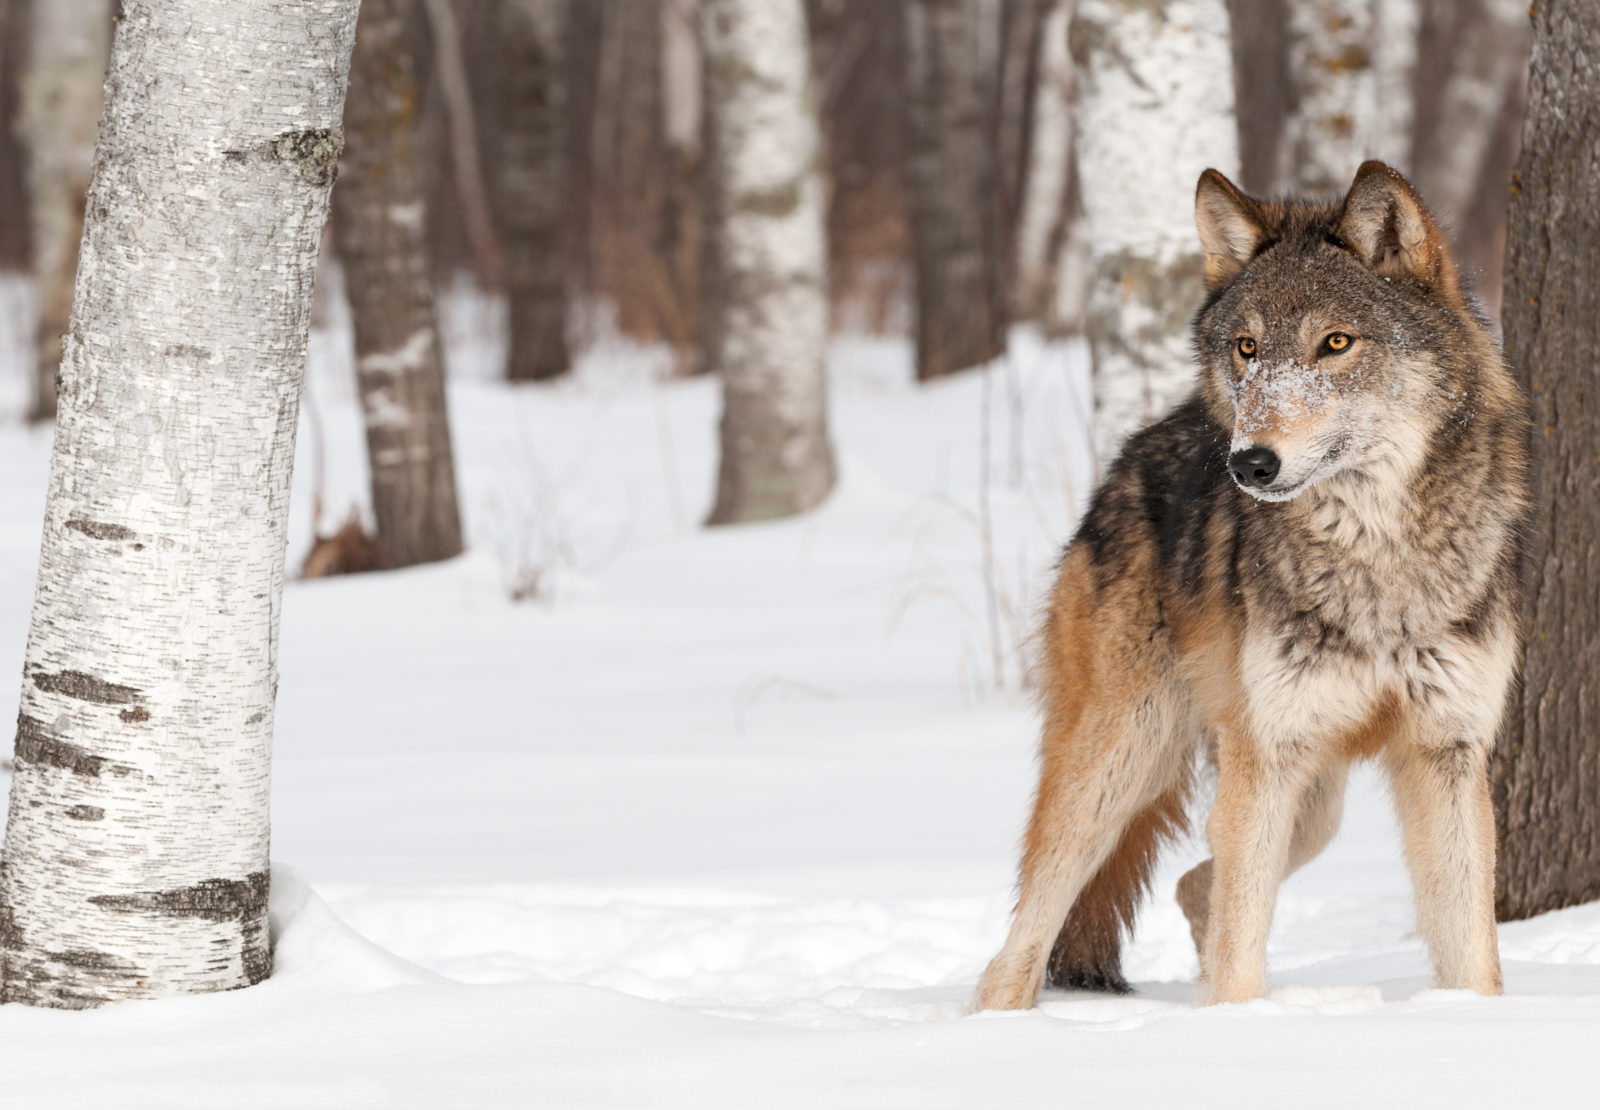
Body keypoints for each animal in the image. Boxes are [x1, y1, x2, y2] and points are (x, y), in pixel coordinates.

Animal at [966, 160, 1529, 1010]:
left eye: (1336, 343)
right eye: (1246, 348)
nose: (1249, 463)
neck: (1376, 562)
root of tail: (1132, 454)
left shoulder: (1446, 754)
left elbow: (1472, 955)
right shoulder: (1270, 754)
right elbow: (1240, 959)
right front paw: (1238, 1026)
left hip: (1306, 801)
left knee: (1196, 880)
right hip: (1125, 763)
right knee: (1021, 944)